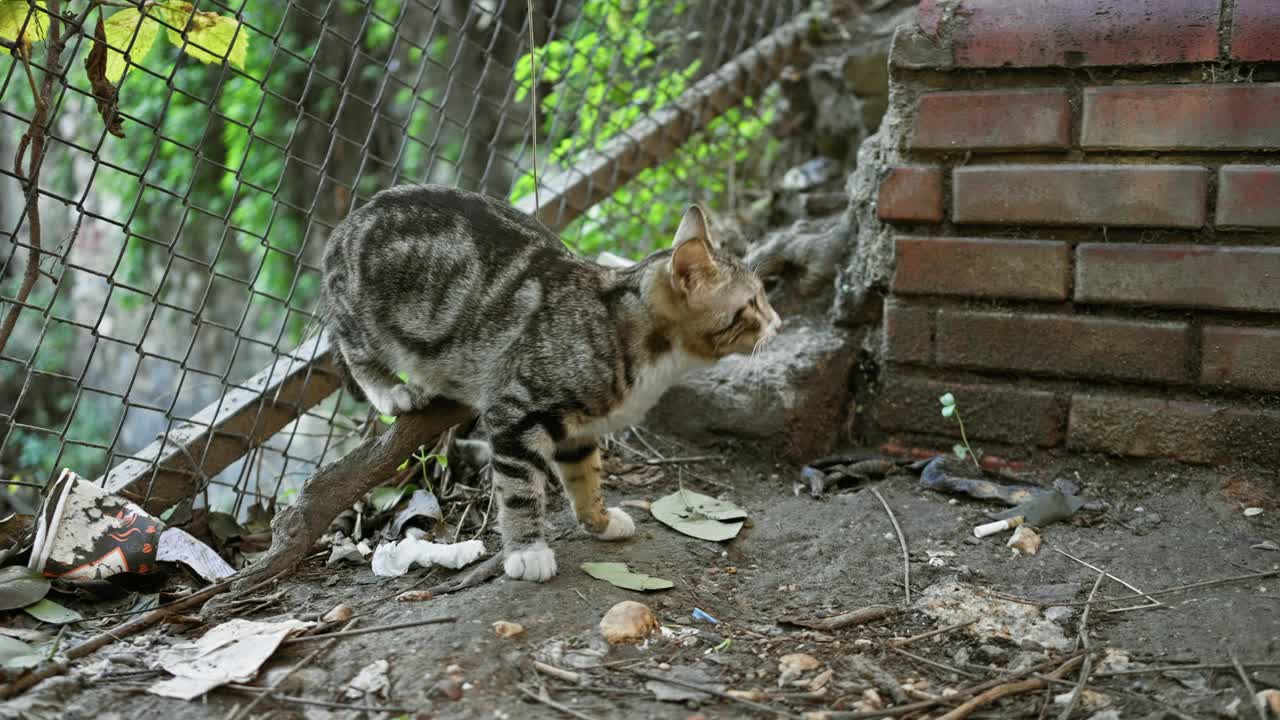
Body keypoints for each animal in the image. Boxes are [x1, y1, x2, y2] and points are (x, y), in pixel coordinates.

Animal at [320, 183, 778, 576]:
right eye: (753, 303)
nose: (778, 322)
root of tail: (343, 227)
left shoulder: (580, 429)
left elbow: (585, 476)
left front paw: (600, 520)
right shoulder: (516, 412)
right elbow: (520, 491)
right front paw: (527, 552)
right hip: (363, 319)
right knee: (351, 347)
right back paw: (391, 390)